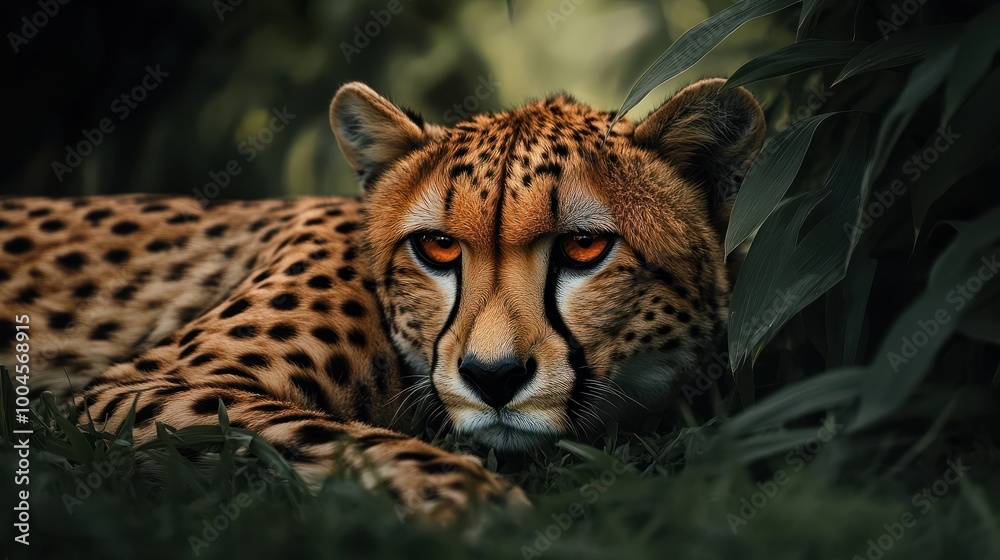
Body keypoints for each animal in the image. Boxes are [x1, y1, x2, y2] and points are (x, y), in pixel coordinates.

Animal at [0, 78, 764, 523]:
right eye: (438, 248)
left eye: (583, 247)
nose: (492, 378)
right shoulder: (141, 386)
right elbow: (330, 434)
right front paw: (479, 506)